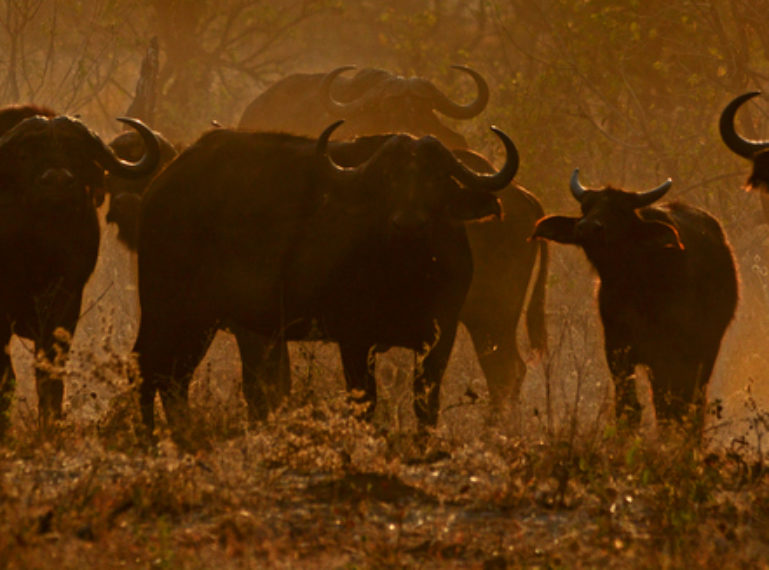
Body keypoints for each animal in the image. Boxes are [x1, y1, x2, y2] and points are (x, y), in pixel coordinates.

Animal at [0, 108, 160, 432]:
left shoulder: (67, 303)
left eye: (75, 151)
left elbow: (49, 371)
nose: (58, 181)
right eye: (28, 153)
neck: (41, 251)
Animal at [134, 121, 516, 440]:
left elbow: (426, 404)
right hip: (167, 307)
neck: (406, 275)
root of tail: (161, 185)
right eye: (388, 179)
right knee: (149, 365)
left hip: (200, 320)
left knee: (175, 376)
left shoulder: (441, 335)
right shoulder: (356, 337)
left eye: (435, 178)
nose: (408, 223)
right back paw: (149, 438)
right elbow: (365, 402)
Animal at [532, 169, 736, 426]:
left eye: (620, 210)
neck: (633, 286)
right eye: (586, 208)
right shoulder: (617, 351)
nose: (586, 227)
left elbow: (668, 405)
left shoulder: (669, 356)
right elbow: (628, 407)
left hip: (706, 352)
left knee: (692, 401)